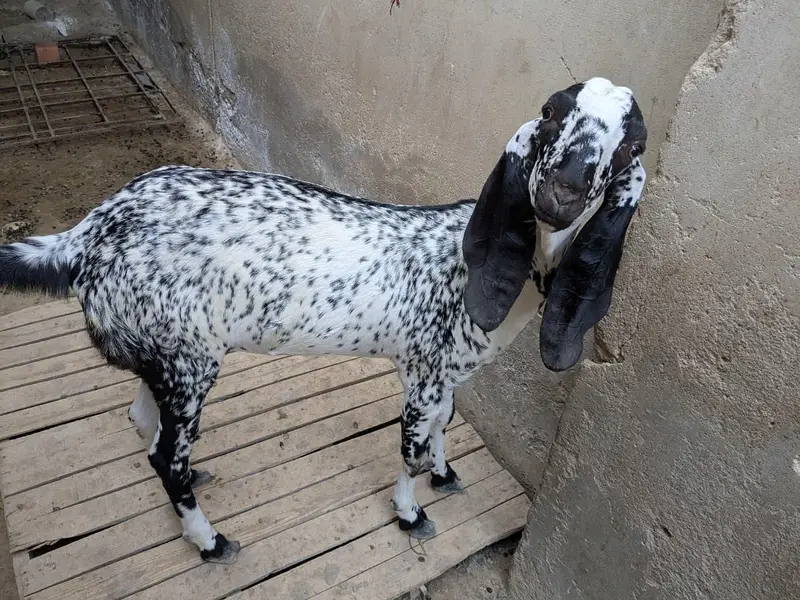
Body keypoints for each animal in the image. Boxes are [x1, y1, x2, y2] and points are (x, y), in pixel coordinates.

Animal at [0, 77, 647, 564]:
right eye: (550, 112)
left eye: (631, 146)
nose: (563, 190)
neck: (467, 263)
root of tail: (90, 231)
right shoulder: (422, 372)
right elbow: (412, 446)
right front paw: (411, 512)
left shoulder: (445, 375)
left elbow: (444, 426)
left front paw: (445, 475)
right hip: (190, 362)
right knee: (164, 454)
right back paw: (210, 541)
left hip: (166, 346)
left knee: (144, 422)